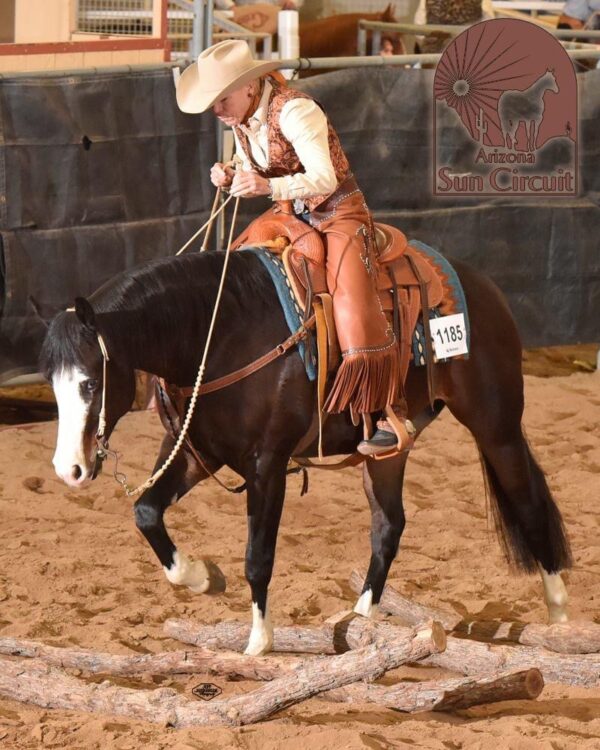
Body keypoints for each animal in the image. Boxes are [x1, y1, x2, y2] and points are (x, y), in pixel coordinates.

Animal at [41, 250, 572, 656]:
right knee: (388, 527)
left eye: (90, 383)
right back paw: (359, 621)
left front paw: (258, 641)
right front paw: (202, 577)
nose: (69, 470)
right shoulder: (196, 453)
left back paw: (560, 616)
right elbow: (146, 512)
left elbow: (258, 556)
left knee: (528, 503)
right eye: (53, 384)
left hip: (496, 426)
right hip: (386, 451)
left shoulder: (268, 465)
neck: (219, 337)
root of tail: (483, 286)